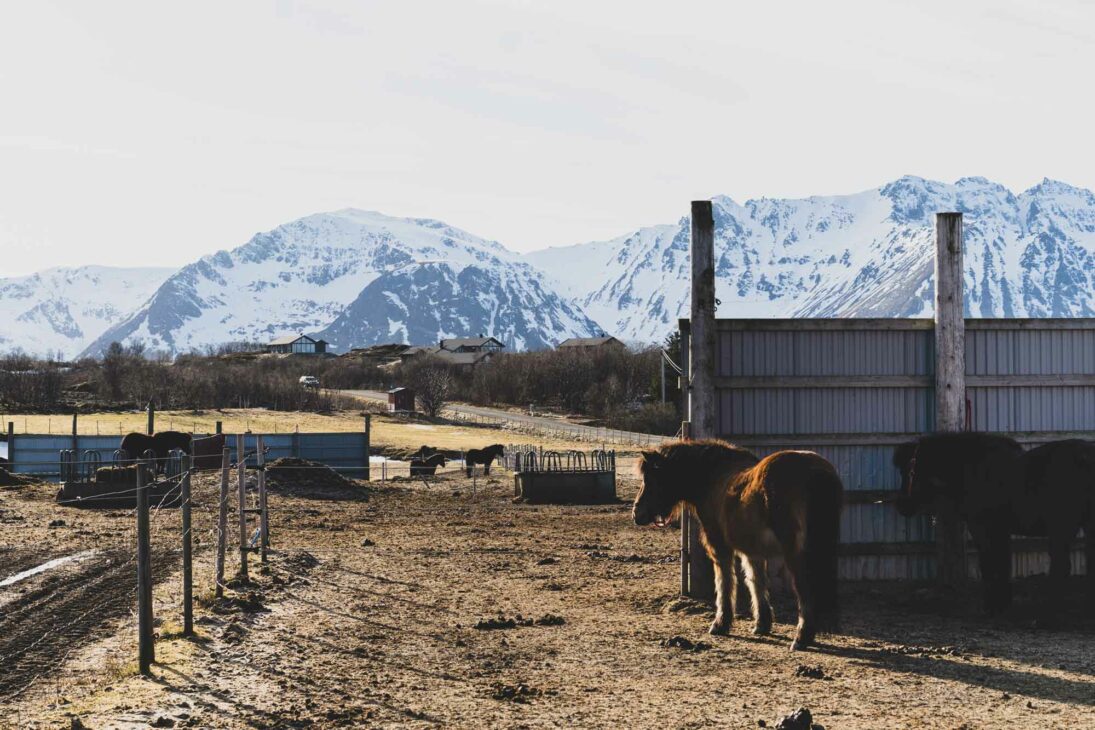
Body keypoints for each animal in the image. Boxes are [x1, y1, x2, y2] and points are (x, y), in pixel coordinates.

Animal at [635, 439, 845, 652]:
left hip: (796, 554)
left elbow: (725, 582)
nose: (637, 513)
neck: (713, 478)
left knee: (804, 587)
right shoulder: (753, 552)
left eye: (650, 479)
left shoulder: (720, 548)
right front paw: (761, 624)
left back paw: (801, 638)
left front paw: (720, 624)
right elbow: (755, 582)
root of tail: (816, 471)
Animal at [893, 433, 1095, 612]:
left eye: (908, 469)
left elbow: (989, 562)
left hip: (1062, 528)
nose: (902, 505)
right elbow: (1002, 562)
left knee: (1061, 566)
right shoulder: (1000, 529)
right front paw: (1002, 603)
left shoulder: (982, 527)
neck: (973, 468)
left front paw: (991, 606)